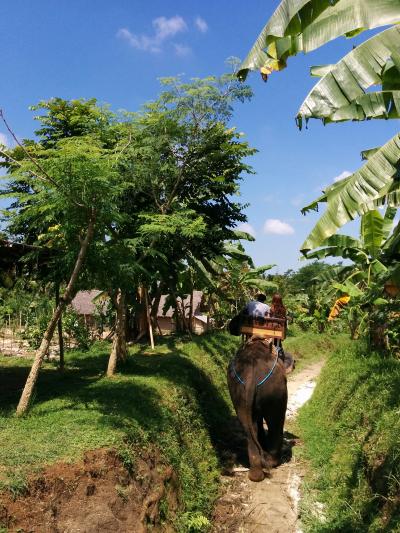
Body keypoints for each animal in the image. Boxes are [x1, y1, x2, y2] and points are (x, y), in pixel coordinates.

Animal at [228, 336, 288, 482]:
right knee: (276, 420)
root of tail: (250, 375)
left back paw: (255, 475)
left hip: (237, 392)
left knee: (249, 428)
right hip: (274, 390)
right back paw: (272, 462)